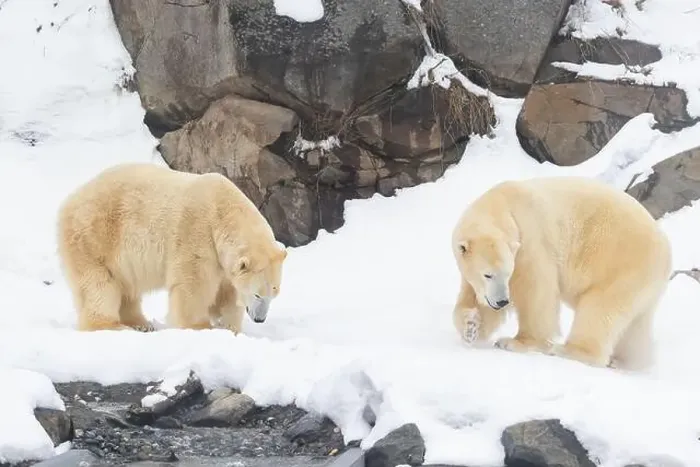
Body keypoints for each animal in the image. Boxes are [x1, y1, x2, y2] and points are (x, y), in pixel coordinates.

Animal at [56, 163, 287, 333]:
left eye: (274, 293)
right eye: (257, 294)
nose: (260, 319)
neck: (221, 211)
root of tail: (70, 200)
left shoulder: (222, 260)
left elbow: (227, 291)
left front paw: (231, 328)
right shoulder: (197, 233)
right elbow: (194, 285)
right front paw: (200, 327)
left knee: (127, 286)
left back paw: (140, 323)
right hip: (94, 237)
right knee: (99, 284)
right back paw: (111, 326)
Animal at [451, 175, 672, 370]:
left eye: (507, 272)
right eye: (488, 274)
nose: (502, 301)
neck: (504, 204)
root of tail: (666, 252)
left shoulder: (530, 240)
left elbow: (536, 290)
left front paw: (515, 342)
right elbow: (472, 297)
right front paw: (471, 326)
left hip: (621, 263)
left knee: (599, 309)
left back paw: (565, 350)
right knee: (635, 327)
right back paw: (626, 361)